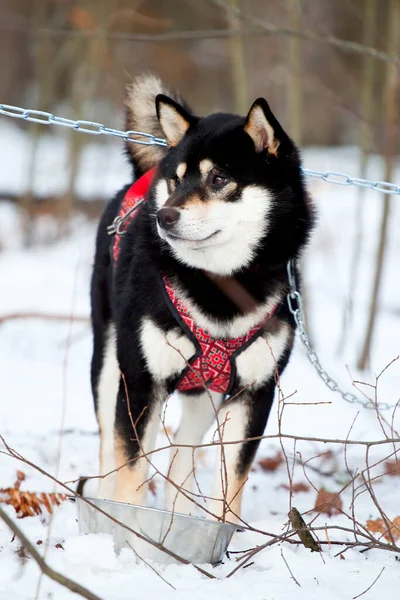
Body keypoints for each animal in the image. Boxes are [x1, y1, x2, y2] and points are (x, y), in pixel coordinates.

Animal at [91, 74, 316, 520]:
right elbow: (131, 476)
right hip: (109, 369)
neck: (220, 284)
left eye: (218, 179)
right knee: (110, 450)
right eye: (177, 180)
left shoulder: (254, 393)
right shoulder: (141, 382)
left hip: (205, 396)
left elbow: (231, 487)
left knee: (180, 461)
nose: (164, 217)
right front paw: (126, 535)